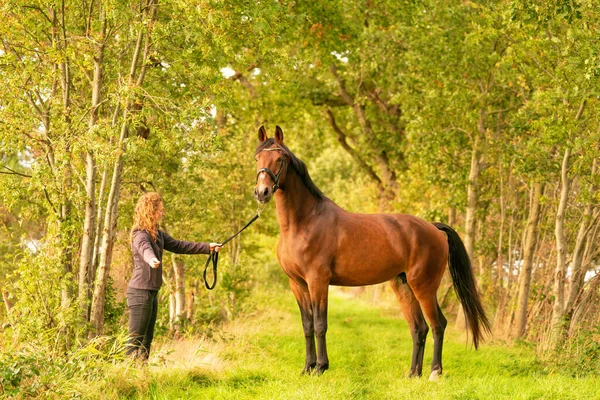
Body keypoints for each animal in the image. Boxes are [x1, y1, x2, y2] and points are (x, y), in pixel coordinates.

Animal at [251, 126, 490, 380]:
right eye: (257, 158)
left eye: (280, 158)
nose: (262, 192)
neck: (304, 221)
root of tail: (433, 228)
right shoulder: (297, 284)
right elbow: (307, 325)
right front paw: (307, 367)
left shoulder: (318, 281)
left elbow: (319, 324)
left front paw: (321, 367)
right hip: (403, 286)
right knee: (419, 328)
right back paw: (413, 373)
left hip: (424, 286)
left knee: (438, 324)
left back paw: (434, 372)